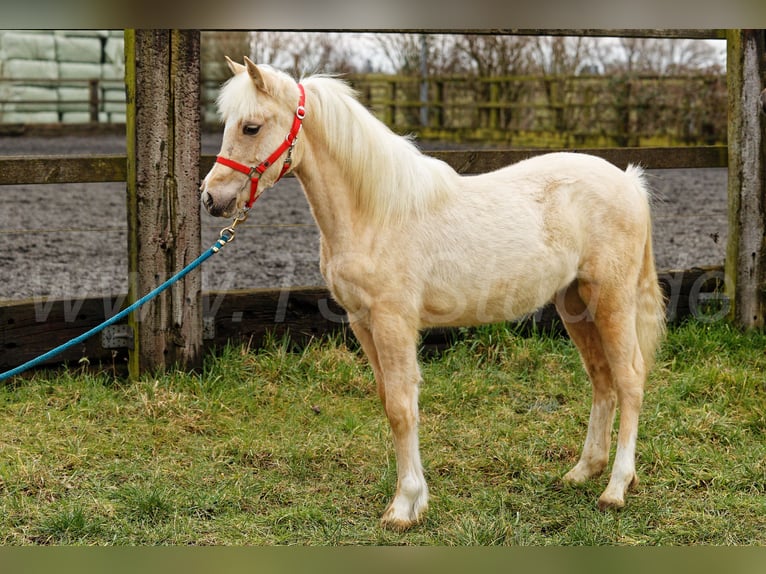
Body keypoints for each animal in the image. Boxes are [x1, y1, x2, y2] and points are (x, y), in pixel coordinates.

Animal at [201, 57, 668, 532]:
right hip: (575, 303)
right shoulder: (362, 322)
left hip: (611, 299)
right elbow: (389, 401)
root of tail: (628, 182)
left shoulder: (393, 321)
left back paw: (615, 488)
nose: (211, 198)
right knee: (602, 379)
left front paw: (403, 506)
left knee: (629, 379)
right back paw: (583, 471)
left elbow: (401, 408)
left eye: (252, 127)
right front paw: (416, 498)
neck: (376, 212)